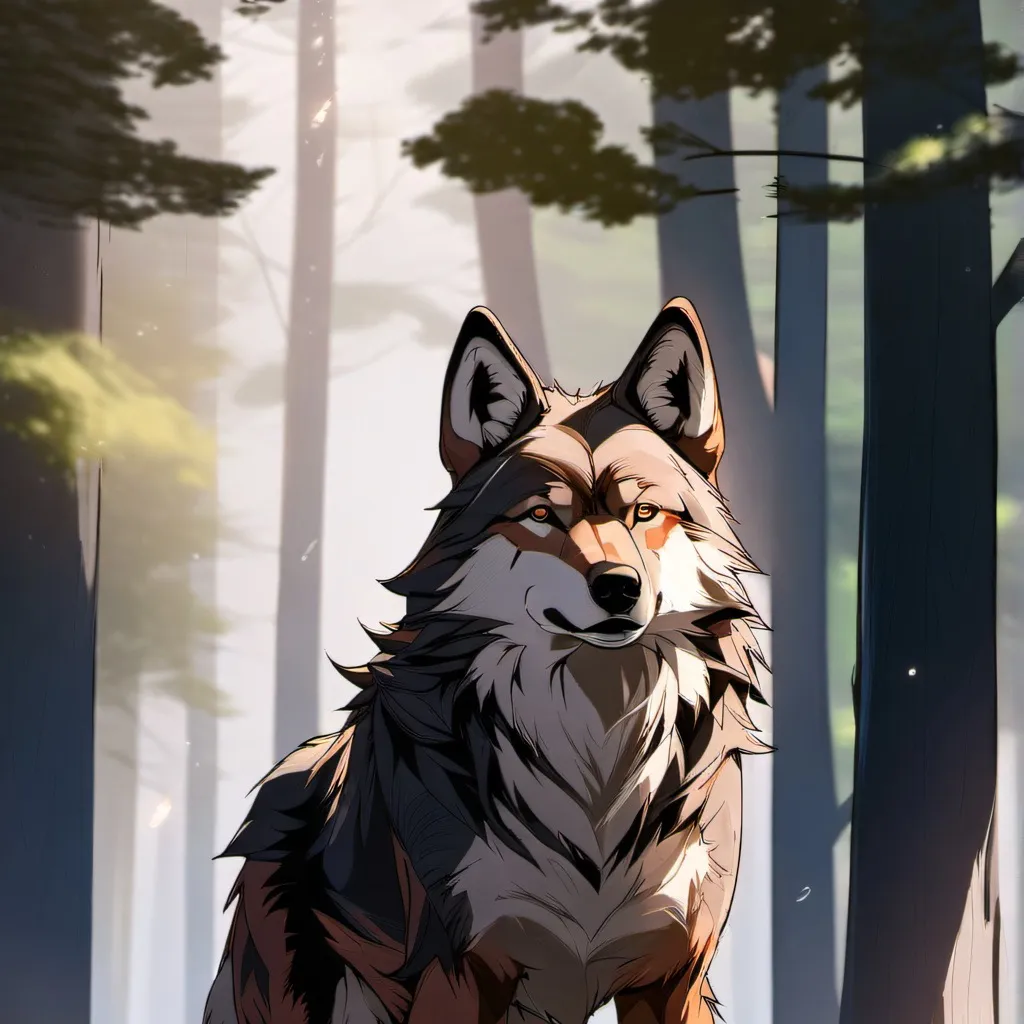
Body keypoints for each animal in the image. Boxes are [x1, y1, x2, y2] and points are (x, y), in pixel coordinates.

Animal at [203, 297, 770, 1024]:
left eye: (645, 512)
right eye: (541, 516)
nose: (618, 587)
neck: (596, 749)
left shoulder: (674, 979)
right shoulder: (458, 972)